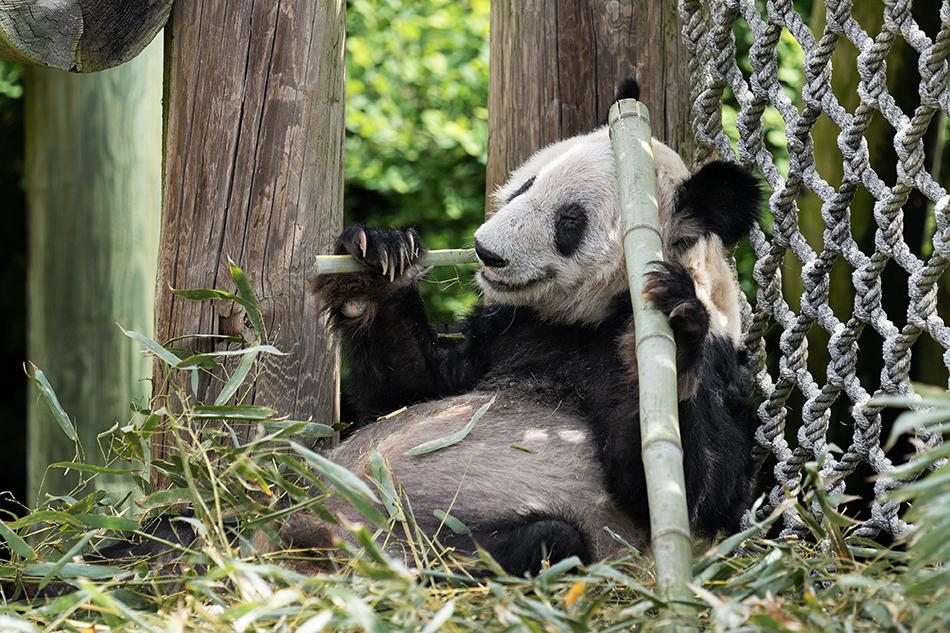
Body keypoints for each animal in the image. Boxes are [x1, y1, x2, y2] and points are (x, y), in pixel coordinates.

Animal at [262, 76, 768, 576]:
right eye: (527, 185)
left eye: (570, 221)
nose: (487, 252)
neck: (593, 317)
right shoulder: (511, 330)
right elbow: (407, 390)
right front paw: (376, 261)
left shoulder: (720, 364)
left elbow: (698, 490)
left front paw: (676, 336)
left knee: (546, 540)